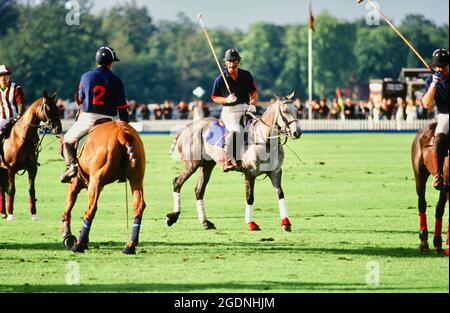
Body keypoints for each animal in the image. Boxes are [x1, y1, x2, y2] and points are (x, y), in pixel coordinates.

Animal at [0, 91, 61, 219]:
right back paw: (4, 212)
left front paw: (34, 213)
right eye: (48, 109)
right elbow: (12, 189)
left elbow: (31, 189)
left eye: (57, 108)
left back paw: (3, 212)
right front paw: (11, 214)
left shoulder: (32, 168)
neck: (23, 138)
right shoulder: (11, 168)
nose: (58, 128)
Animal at [60, 120, 146, 254]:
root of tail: (121, 133)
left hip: (96, 179)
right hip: (136, 177)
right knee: (138, 205)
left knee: (91, 208)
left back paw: (78, 245)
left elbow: (68, 207)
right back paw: (129, 246)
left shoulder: (75, 182)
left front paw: (68, 236)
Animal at [166, 91, 302, 230]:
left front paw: (286, 223)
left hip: (207, 165)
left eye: (296, 110)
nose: (297, 132)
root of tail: (184, 128)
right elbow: (250, 197)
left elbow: (280, 194)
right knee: (177, 182)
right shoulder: (250, 173)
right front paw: (251, 223)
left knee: (199, 190)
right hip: (192, 164)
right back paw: (172, 217)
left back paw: (205, 222)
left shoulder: (275, 172)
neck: (265, 139)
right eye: (285, 111)